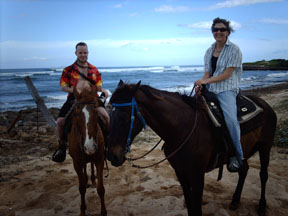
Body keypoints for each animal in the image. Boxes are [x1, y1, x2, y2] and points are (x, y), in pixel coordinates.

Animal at [67, 87, 107, 215]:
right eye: (76, 113)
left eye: (96, 112)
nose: (90, 147)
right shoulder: (76, 163)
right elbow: (82, 188)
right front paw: (82, 211)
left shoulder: (99, 159)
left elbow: (101, 189)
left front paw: (103, 212)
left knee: (91, 165)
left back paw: (93, 180)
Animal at [106, 80, 276, 216]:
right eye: (109, 113)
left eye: (123, 116)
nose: (112, 155)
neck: (182, 129)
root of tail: (265, 105)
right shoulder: (181, 173)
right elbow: (189, 205)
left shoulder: (197, 176)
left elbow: (197, 208)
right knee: (244, 170)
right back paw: (235, 201)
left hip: (265, 147)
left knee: (263, 175)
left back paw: (262, 206)